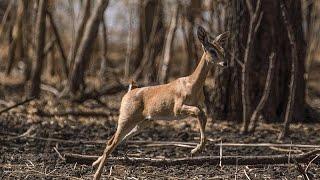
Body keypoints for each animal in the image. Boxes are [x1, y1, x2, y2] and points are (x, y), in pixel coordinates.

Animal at [92, 26, 228, 179]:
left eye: (223, 49)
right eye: (211, 50)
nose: (225, 63)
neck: (192, 84)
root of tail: (130, 90)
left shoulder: (198, 106)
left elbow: (203, 116)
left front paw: (195, 151)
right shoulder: (178, 109)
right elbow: (199, 113)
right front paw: (195, 151)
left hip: (143, 122)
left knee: (116, 140)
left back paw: (94, 164)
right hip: (126, 119)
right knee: (112, 142)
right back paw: (96, 175)